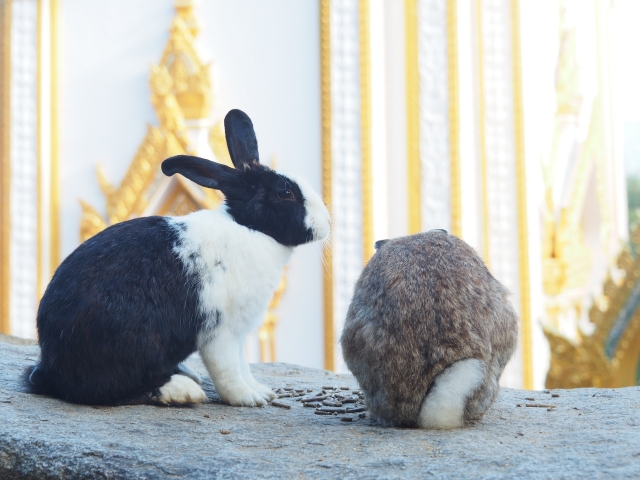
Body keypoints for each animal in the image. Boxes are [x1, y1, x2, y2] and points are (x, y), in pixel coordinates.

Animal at [25, 110, 330, 406]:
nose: (327, 223)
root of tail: (51, 366)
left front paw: (261, 392)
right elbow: (228, 370)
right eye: (285, 193)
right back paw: (182, 390)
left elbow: (243, 366)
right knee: (105, 390)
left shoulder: (241, 332)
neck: (250, 228)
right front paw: (248, 398)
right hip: (126, 343)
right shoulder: (221, 331)